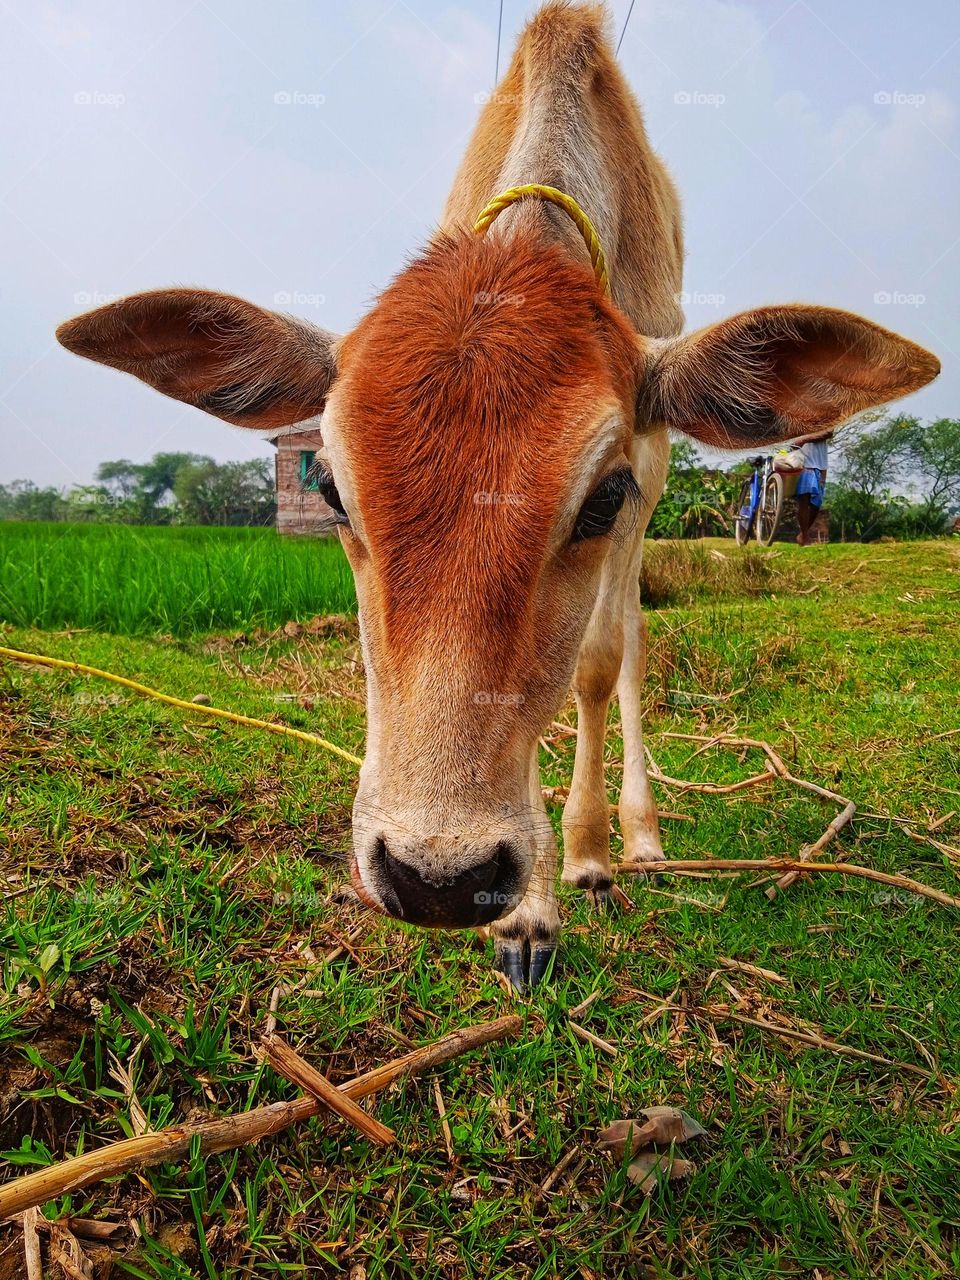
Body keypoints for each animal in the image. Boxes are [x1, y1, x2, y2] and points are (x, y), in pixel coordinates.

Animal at [57, 3, 938, 987]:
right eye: (331, 491)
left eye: (599, 498)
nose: (437, 878)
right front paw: (526, 915)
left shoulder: (647, 457)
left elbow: (593, 665)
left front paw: (576, 865)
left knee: (627, 646)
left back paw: (632, 838)